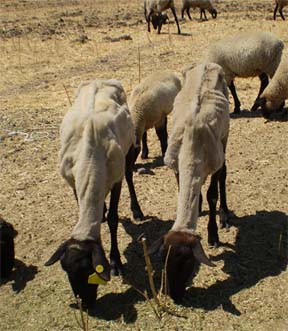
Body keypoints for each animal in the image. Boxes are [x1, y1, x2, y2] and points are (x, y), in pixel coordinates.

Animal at [148, 63, 230, 304]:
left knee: (224, 174)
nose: (172, 294)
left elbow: (213, 194)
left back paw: (224, 215)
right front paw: (199, 208)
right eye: (163, 258)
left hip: (225, 136)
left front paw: (213, 235)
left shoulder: (215, 162)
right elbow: (186, 193)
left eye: (186, 262)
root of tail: (207, 64)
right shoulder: (175, 165)